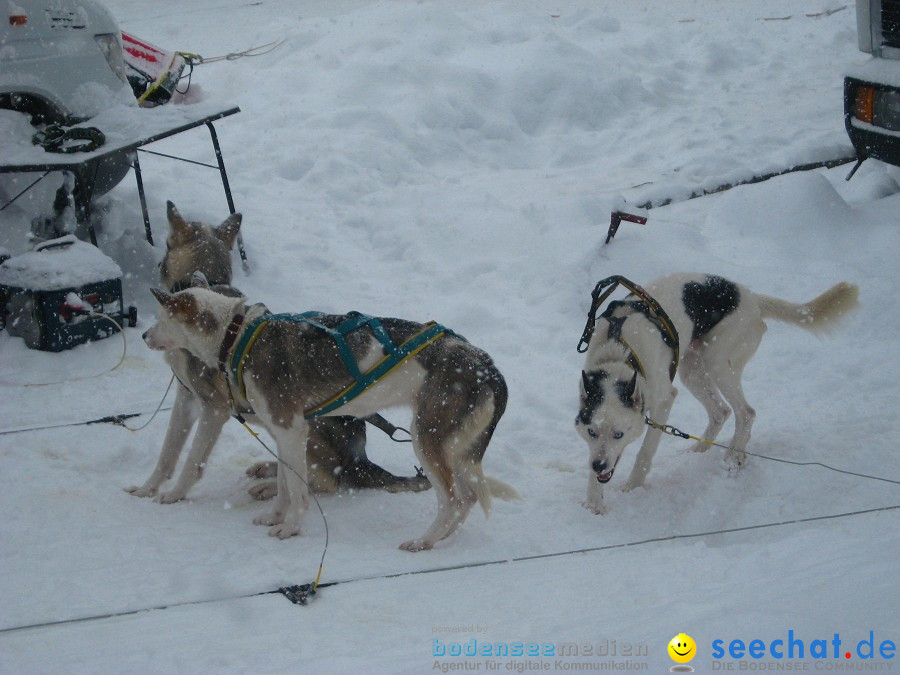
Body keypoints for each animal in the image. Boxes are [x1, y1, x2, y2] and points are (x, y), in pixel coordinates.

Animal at [124, 203, 428, 504]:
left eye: (166, 243)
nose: (143, 335)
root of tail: (358, 461)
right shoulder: (186, 398)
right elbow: (168, 452)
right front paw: (148, 488)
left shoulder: (214, 407)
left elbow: (192, 461)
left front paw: (174, 494)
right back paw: (269, 470)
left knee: (323, 481)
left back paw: (271, 488)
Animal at [141, 288, 512, 552]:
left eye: (160, 317)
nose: (144, 335)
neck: (237, 336)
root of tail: (487, 364)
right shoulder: (284, 435)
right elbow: (285, 486)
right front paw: (275, 515)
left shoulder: (289, 429)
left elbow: (296, 490)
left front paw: (290, 527)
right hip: (455, 448)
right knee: (468, 498)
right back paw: (442, 538)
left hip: (428, 439)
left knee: (454, 500)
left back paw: (424, 541)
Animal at [576, 272, 856, 516]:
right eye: (591, 432)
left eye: (619, 434)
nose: (599, 465)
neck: (618, 354)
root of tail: (752, 298)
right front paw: (594, 502)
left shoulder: (663, 401)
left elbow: (645, 452)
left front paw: (631, 488)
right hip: (692, 368)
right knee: (721, 411)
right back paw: (699, 450)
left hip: (718, 362)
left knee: (746, 412)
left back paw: (734, 457)